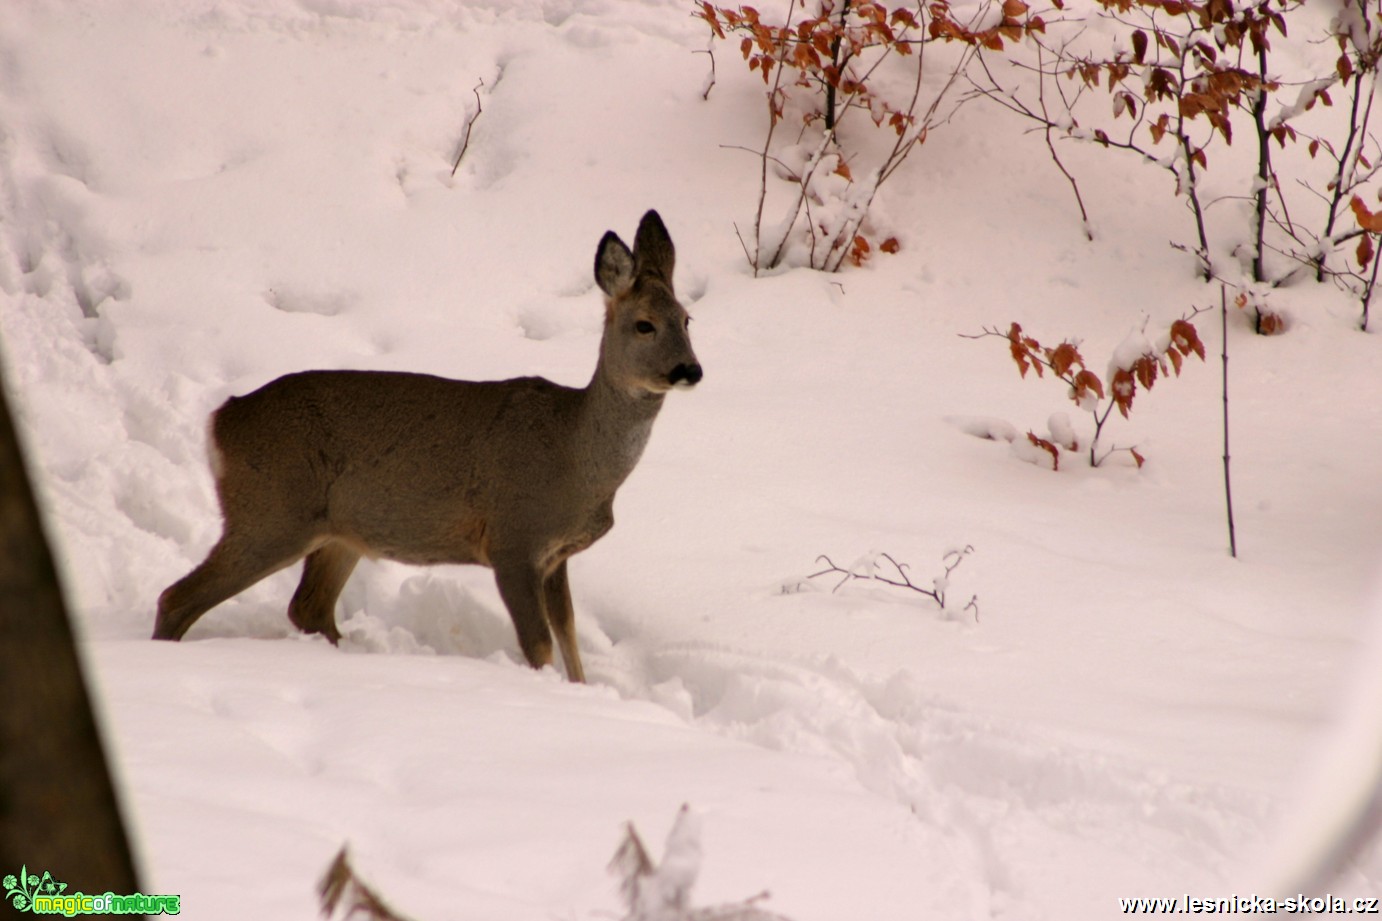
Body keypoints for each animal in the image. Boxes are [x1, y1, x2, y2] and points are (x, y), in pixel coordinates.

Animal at [151, 211, 702, 677]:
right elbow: (541, 646)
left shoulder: (555, 556)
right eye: (644, 324)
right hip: (270, 513)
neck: (575, 457)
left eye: (687, 319)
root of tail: (221, 420)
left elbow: (570, 644)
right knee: (176, 597)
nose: (690, 370)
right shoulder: (513, 538)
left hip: (339, 532)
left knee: (308, 607)